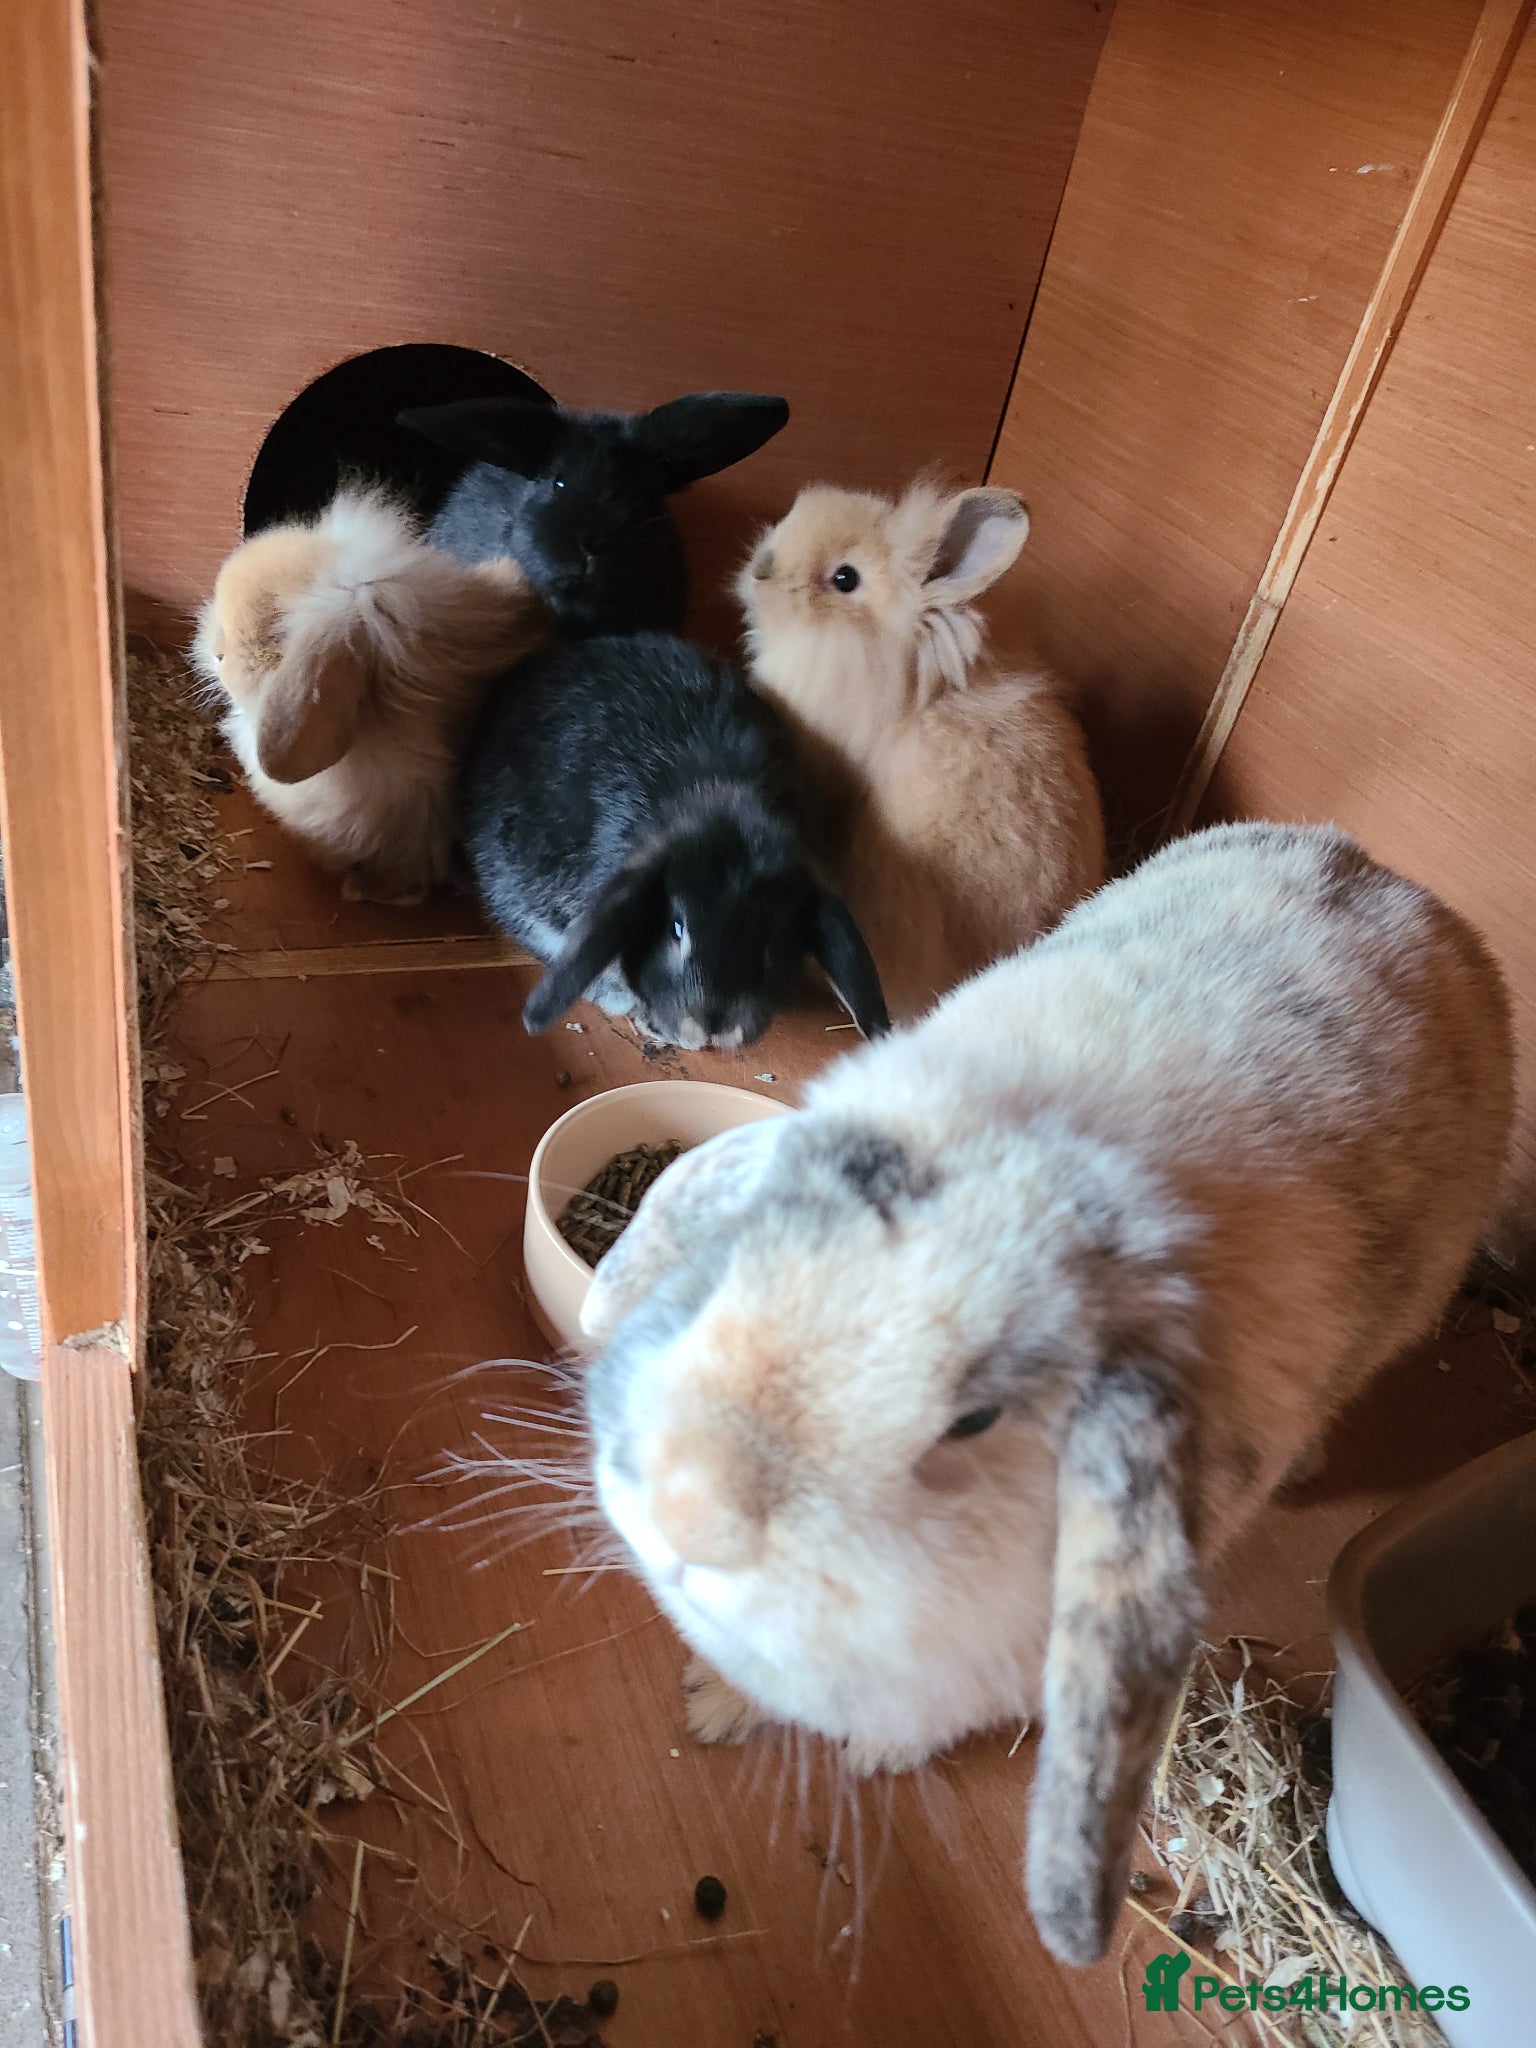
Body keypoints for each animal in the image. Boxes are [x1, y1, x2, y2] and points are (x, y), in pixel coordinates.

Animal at [575, 820, 1513, 1966]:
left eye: (975, 1417)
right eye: (754, 1246)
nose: (688, 1508)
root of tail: (1392, 881)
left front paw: (871, 1751)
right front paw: (711, 1700)